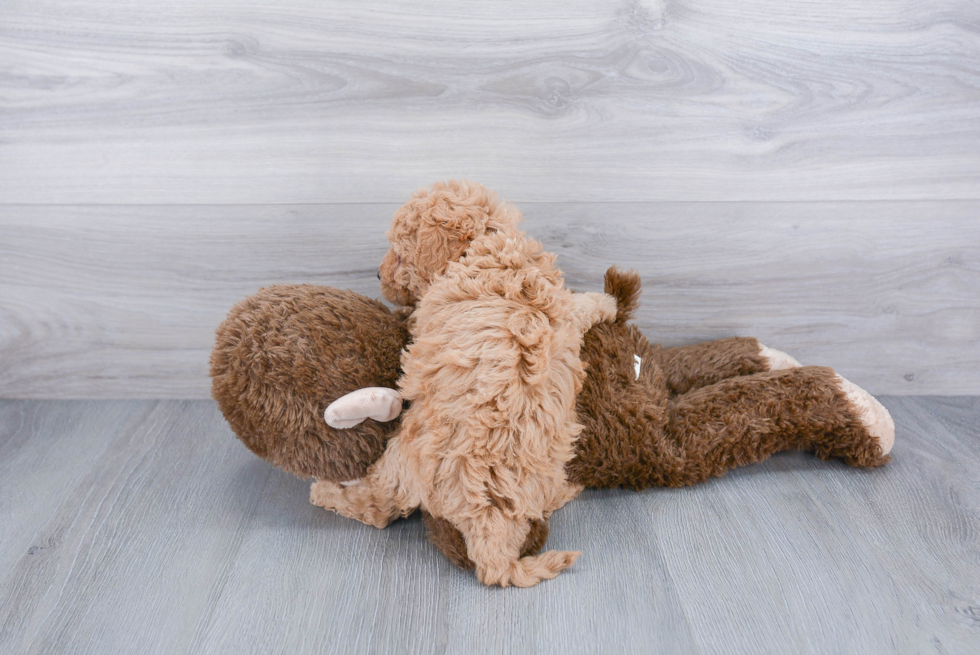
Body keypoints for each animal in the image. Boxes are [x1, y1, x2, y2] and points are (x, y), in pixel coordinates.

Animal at [310, 181, 616, 588]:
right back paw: (567, 490)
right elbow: (580, 305)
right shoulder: (563, 309)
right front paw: (608, 302)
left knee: (378, 506)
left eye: (400, 255)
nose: (376, 275)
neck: (484, 242)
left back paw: (326, 492)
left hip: (404, 455)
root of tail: (485, 517)